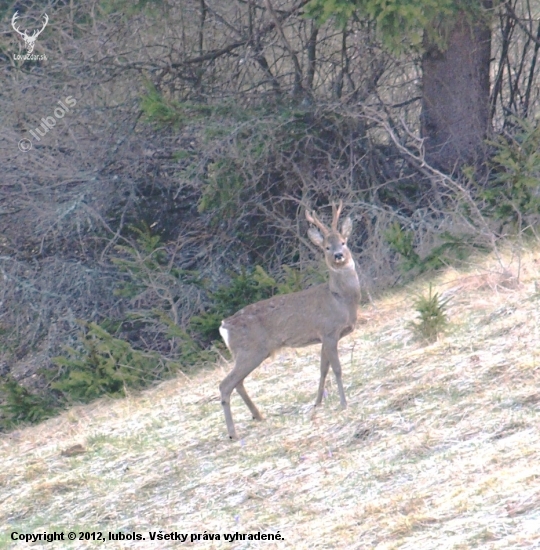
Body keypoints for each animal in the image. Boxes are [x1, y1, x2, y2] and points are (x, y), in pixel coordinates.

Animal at [217, 202, 360, 440]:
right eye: (326, 247)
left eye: (343, 241)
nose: (339, 255)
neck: (340, 298)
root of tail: (223, 326)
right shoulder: (329, 331)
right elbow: (337, 369)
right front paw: (343, 403)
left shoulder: (324, 336)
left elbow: (323, 369)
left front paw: (317, 403)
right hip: (251, 350)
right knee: (225, 384)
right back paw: (233, 434)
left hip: (248, 353)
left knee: (238, 382)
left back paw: (259, 416)